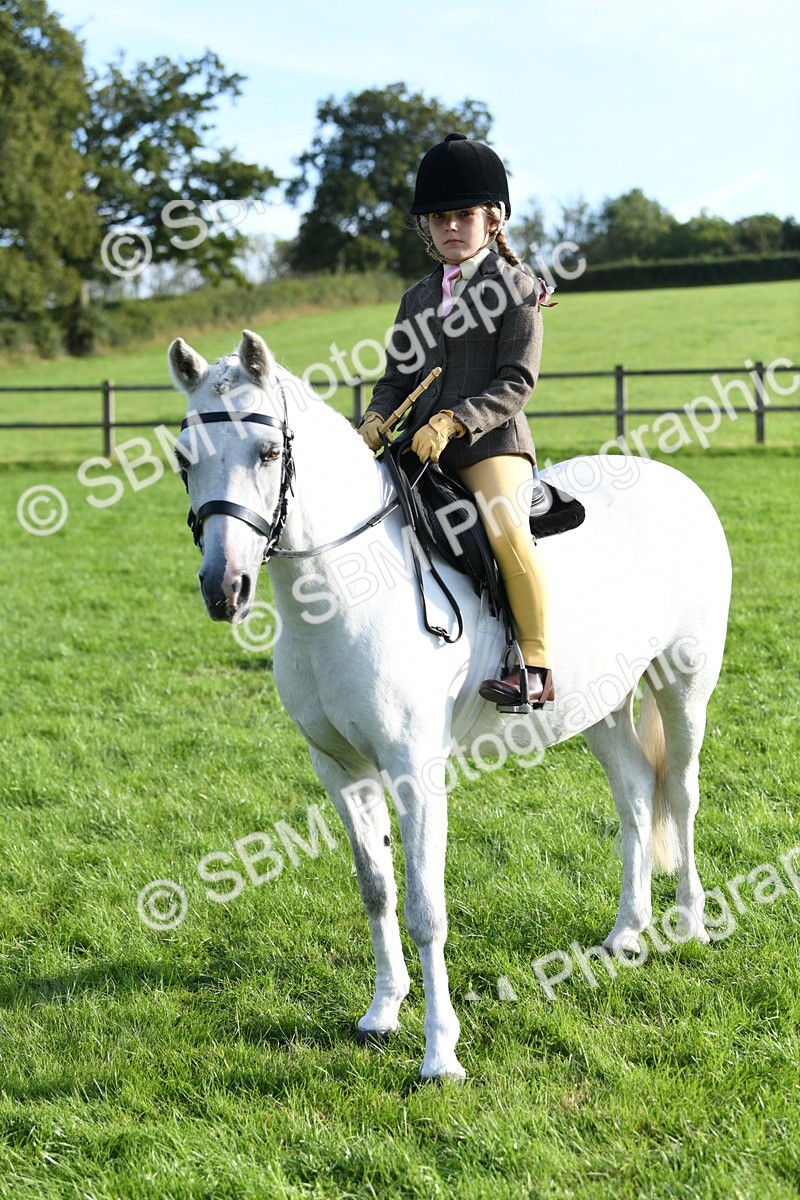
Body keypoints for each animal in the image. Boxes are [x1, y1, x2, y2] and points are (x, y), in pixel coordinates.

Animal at [168, 329, 732, 1081]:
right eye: (184, 459)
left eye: (266, 452)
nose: (223, 588)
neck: (346, 586)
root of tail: (678, 483)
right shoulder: (339, 769)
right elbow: (376, 889)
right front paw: (382, 1012)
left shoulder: (415, 771)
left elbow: (426, 909)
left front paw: (440, 1054)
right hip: (600, 703)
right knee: (639, 792)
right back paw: (626, 935)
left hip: (684, 680)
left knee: (685, 793)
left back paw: (691, 923)